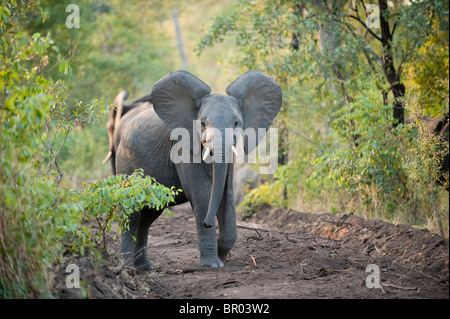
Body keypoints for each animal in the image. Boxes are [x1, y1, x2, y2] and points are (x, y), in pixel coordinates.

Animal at [106, 70, 282, 270]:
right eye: (203, 123)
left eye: (237, 123)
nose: (207, 223)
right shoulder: (181, 146)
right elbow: (201, 194)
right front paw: (213, 264)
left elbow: (226, 193)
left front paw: (222, 255)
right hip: (126, 161)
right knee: (133, 212)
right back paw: (128, 268)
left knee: (147, 216)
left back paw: (145, 267)